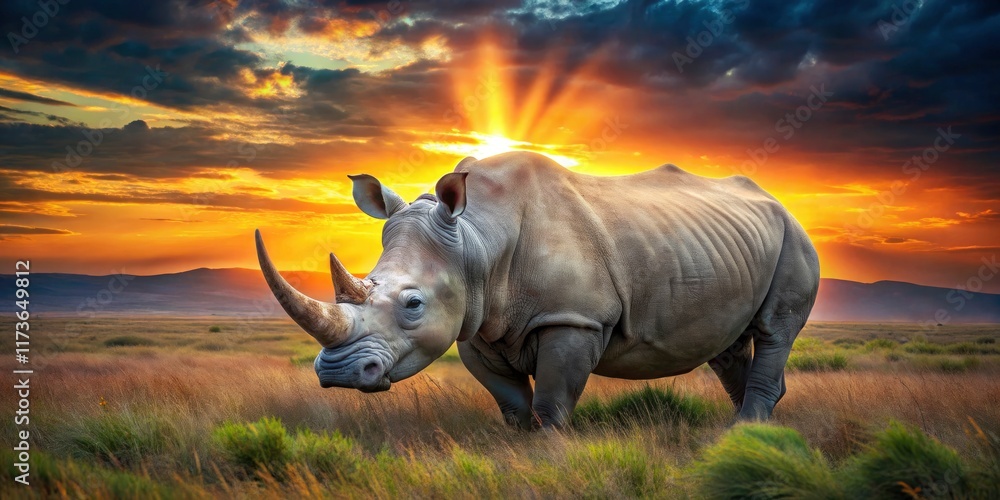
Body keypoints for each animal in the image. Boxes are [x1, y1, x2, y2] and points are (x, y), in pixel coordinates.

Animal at [255, 151, 820, 428]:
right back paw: (743, 431)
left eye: (413, 304)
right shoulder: (476, 324)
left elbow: (552, 403)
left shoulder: (573, 317)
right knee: (726, 345)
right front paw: (520, 446)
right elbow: (512, 404)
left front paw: (549, 450)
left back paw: (746, 433)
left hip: (793, 238)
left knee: (774, 330)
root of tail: (781, 204)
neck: (476, 238)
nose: (337, 374)